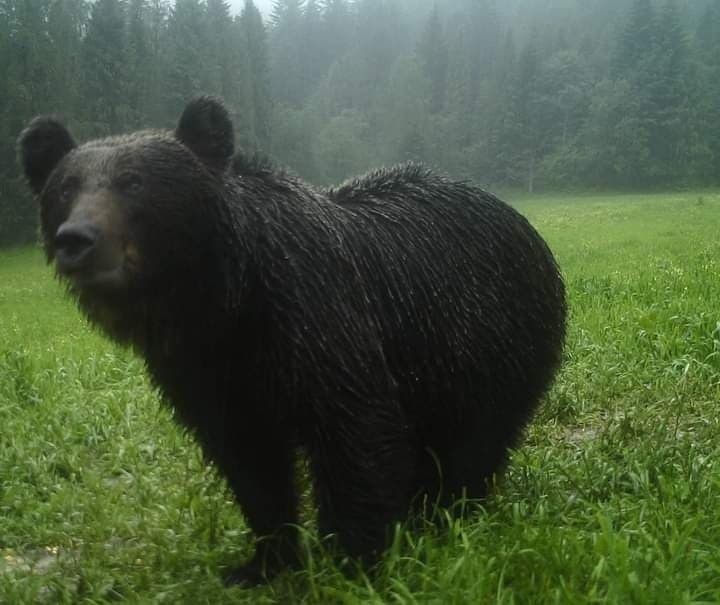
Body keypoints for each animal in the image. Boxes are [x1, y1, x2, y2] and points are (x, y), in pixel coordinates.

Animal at [16, 96, 564, 584]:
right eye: (65, 188)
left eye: (134, 182)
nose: (76, 240)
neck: (223, 300)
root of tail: (520, 220)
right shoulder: (203, 371)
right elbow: (250, 463)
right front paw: (263, 561)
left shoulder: (320, 325)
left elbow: (356, 434)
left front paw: (353, 560)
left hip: (489, 338)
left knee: (476, 439)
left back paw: (448, 511)